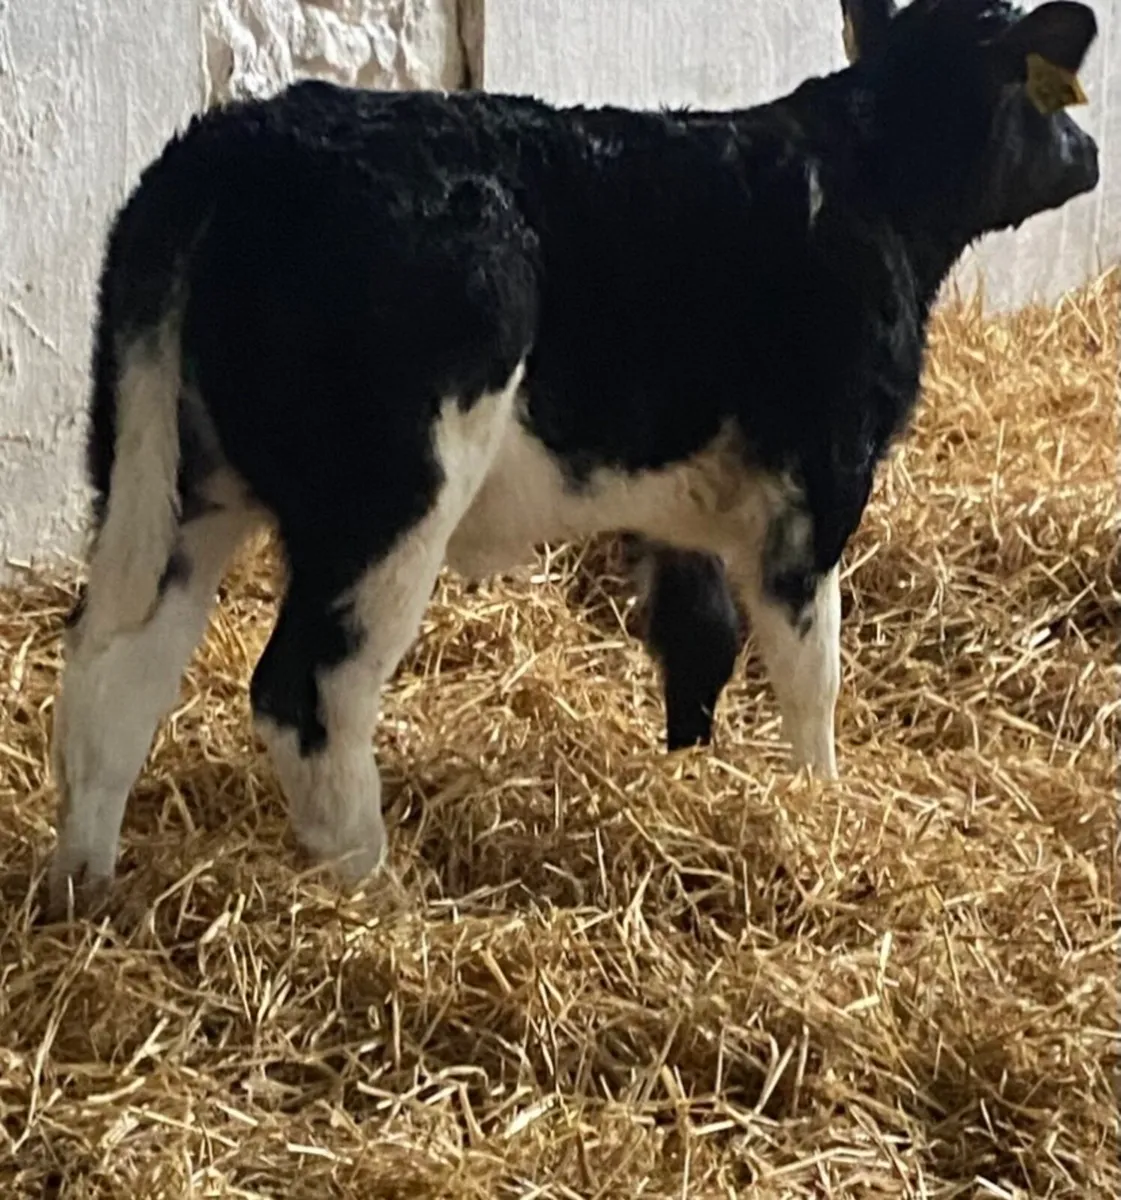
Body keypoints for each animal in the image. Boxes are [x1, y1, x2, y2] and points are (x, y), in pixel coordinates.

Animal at [47, 0, 1100, 918]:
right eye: (1057, 96)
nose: (1090, 156)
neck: (864, 182)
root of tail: (233, 144)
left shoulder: (681, 509)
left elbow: (699, 640)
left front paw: (693, 775)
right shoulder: (822, 477)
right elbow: (812, 672)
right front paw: (820, 806)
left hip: (176, 482)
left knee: (114, 672)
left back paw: (86, 891)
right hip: (387, 501)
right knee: (308, 693)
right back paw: (383, 901)